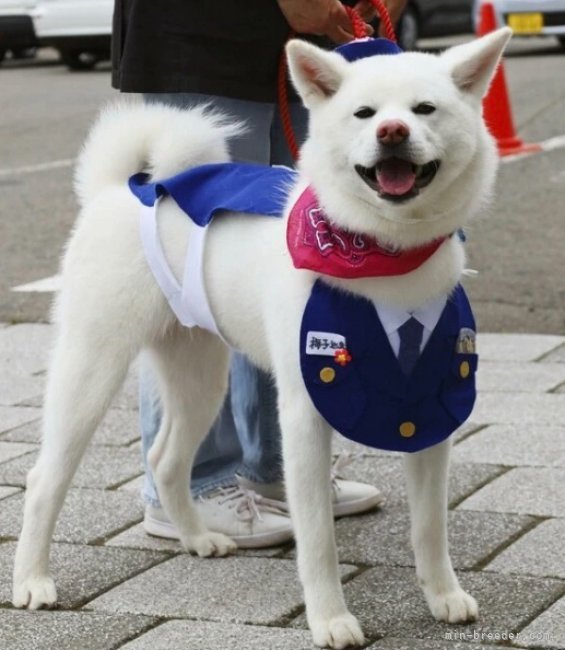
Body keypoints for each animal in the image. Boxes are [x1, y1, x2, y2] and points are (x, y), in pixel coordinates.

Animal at [12, 27, 512, 644]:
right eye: (364, 113)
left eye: (425, 109)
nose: (392, 132)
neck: (380, 255)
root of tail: (124, 187)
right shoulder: (305, 411)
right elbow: (317, 540)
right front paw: (330, 619)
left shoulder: (431, 410)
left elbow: (430, 527)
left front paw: (443, 597)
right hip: (92, 367)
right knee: (45, 479)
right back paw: (32, 581)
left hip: (200, 375)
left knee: (165, 458)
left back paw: (198, 538)